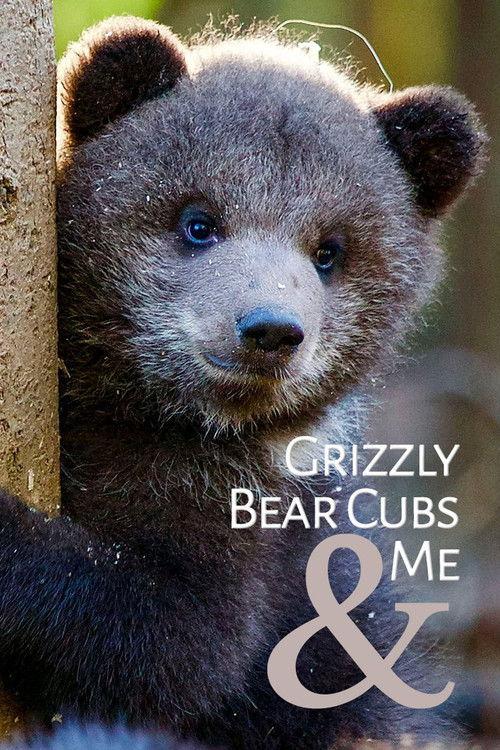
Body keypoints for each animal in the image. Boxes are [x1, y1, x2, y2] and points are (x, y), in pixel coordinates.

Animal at [0, 15, 486, 750]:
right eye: (198, 221)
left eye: (328, 251)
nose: (271, 330)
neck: (152, 414)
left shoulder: (253, 531)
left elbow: (175, 648)